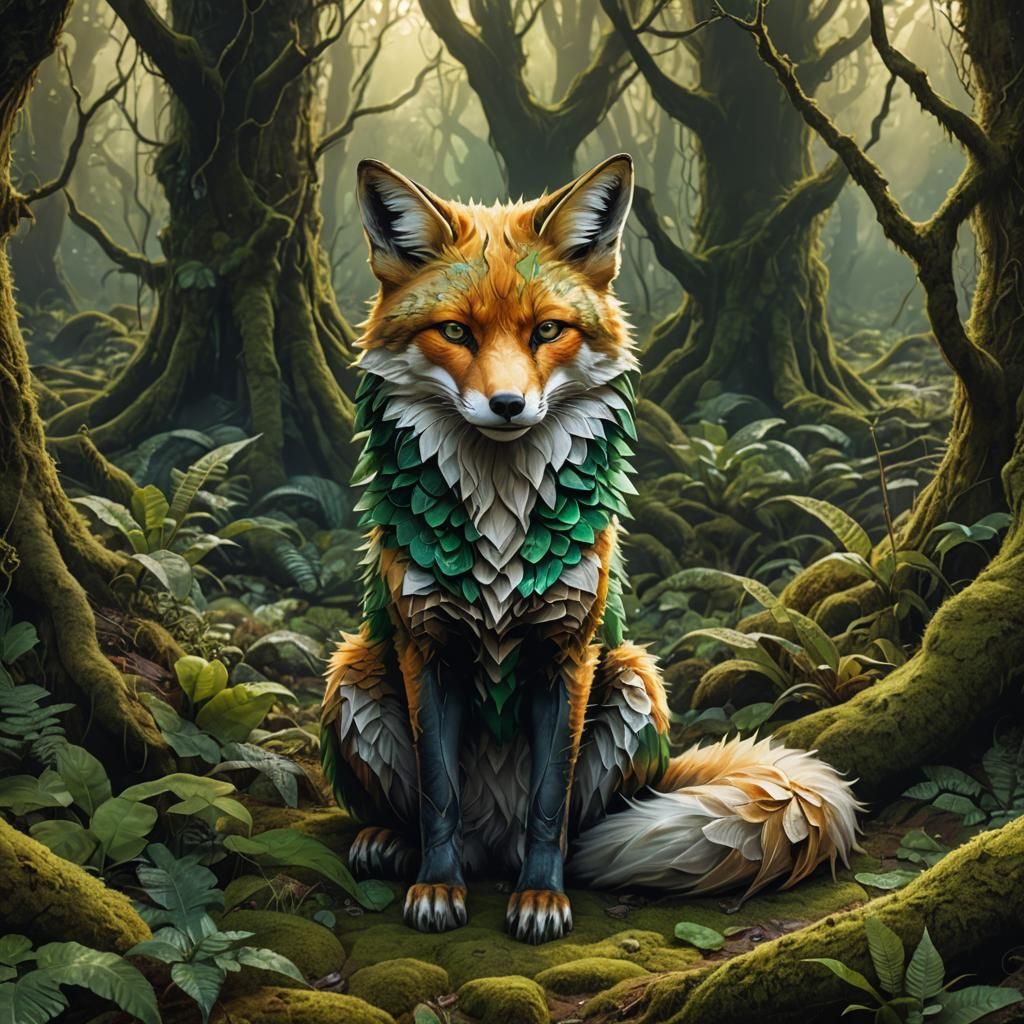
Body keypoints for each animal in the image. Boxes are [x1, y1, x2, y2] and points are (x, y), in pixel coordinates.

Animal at [320, 154, 862, 945]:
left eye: (548, 331)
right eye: (455, 331)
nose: (508, 406)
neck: (501, 524)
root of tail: (493, 842)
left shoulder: (567, 650)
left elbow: (550, 802)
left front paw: (541, 898)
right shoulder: (428, 647)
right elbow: (438, 793)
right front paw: (437, 887)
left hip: (636, 676)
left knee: (577, 829)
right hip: (355, 670)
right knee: (424, 812)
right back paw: (392, 845)